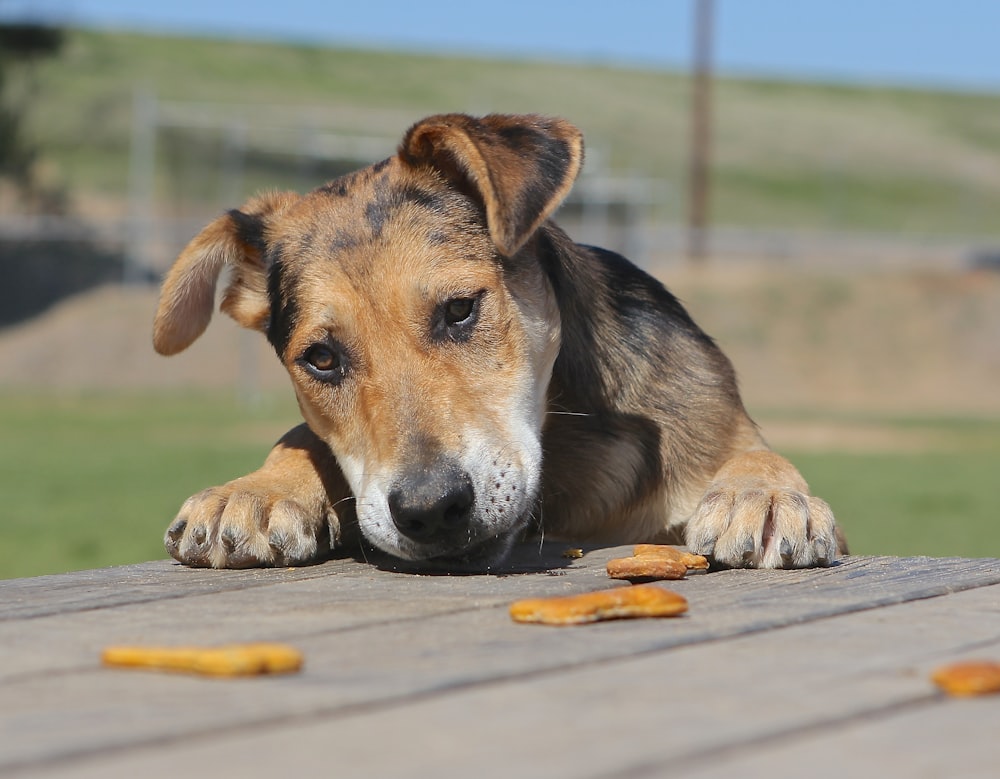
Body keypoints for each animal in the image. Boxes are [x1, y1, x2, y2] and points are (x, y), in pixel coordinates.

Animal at [154, 112, 844, 568]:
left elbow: (753, 452)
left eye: (460, 310)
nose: (431, 510)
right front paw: (257, 490)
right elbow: (304, 436)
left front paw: (762, 494)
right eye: (320, 358)